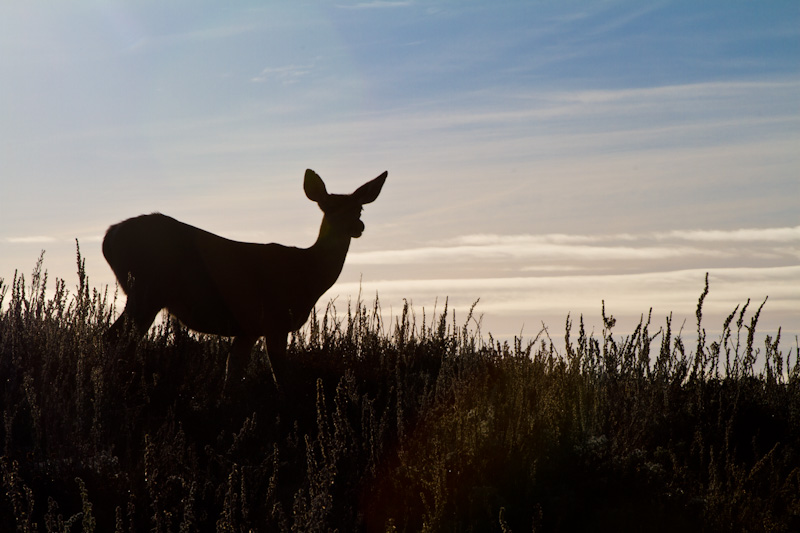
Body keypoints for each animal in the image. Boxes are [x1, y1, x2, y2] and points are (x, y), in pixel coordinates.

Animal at [101, 168, 390, 388]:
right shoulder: (275, 319)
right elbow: (282, 378)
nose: (358, 226)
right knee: (112, 338)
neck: (308, 273)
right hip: (146, 292)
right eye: (328, 207)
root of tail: (109, 236)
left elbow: (233, 372)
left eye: (359, 209)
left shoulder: (248, 328)